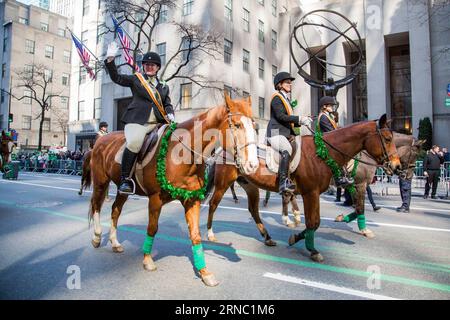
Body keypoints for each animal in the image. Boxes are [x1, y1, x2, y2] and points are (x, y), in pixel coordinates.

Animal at [86, 95, 258, 288]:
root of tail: (99, 142)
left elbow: (195, 235)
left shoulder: (191, 200)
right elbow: (152, 228)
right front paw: (147, 260)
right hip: (101, 182)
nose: (253, 165)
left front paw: (204, 273)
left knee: (115, 210)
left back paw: (115, 243)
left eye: (255, 126)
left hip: (123, 190)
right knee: (96, 205)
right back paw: (97, 237)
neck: (182, 153)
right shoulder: (155, 198)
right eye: (237, 125)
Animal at [206, 115, 400, 262]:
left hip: (250, 186)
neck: (321, 153)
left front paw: (297, 238)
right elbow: (313, 222)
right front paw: (312, 249)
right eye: (388, 139)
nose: (397, 166)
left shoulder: (316, 193)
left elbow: (316, 222)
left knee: (253, 210)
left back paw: (267, 238)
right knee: (213, 205)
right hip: (223, 184)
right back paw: (210, 234)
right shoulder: (310, 193)